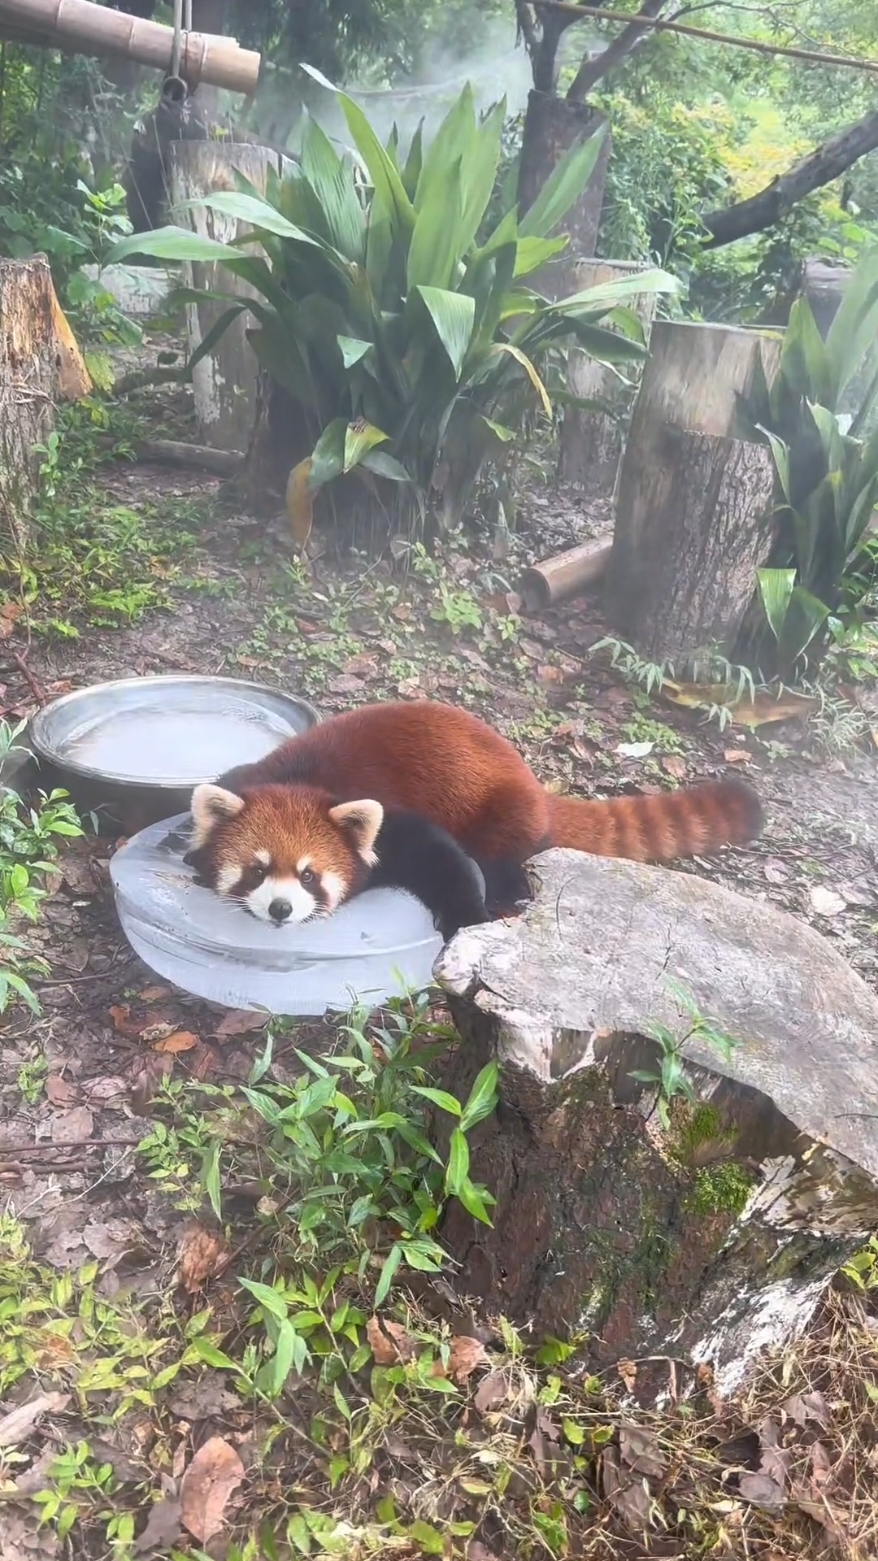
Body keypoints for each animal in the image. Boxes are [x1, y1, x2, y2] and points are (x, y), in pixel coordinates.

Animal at [189, 702, 759, 930]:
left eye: (310, 875)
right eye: (257, 870)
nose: (281, 909)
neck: (301, 778)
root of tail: (535, 786)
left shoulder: (395, 821)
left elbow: (444, 857)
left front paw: (469, 917)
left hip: (503, 814)